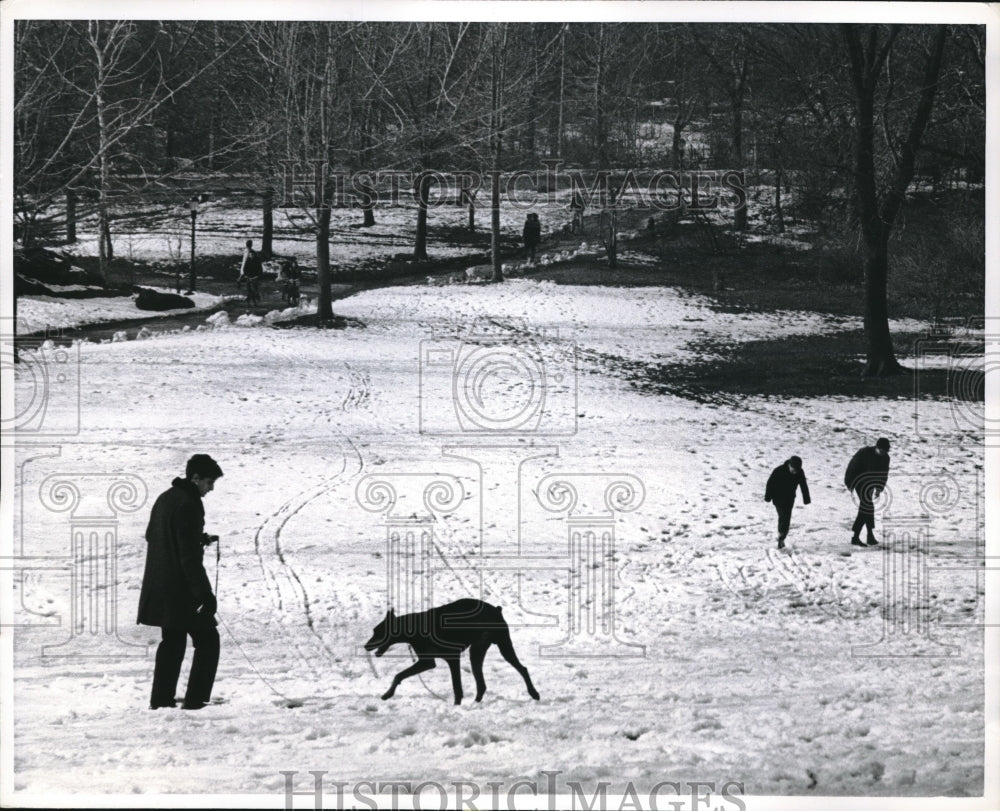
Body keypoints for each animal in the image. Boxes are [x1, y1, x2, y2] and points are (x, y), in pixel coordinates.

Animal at [364, 600, 540, 708]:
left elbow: (457, 687)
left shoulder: (450, 658)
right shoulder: (427, 662)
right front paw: (387, 694)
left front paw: (456, 706)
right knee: (482, 684)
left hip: (502, 645)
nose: (365, 646)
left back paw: (534, 693)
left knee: (522, 669)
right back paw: (475, 704)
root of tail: (497, 609)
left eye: (377, 632)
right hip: (477, 651)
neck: (414, 628)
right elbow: (399, 675)